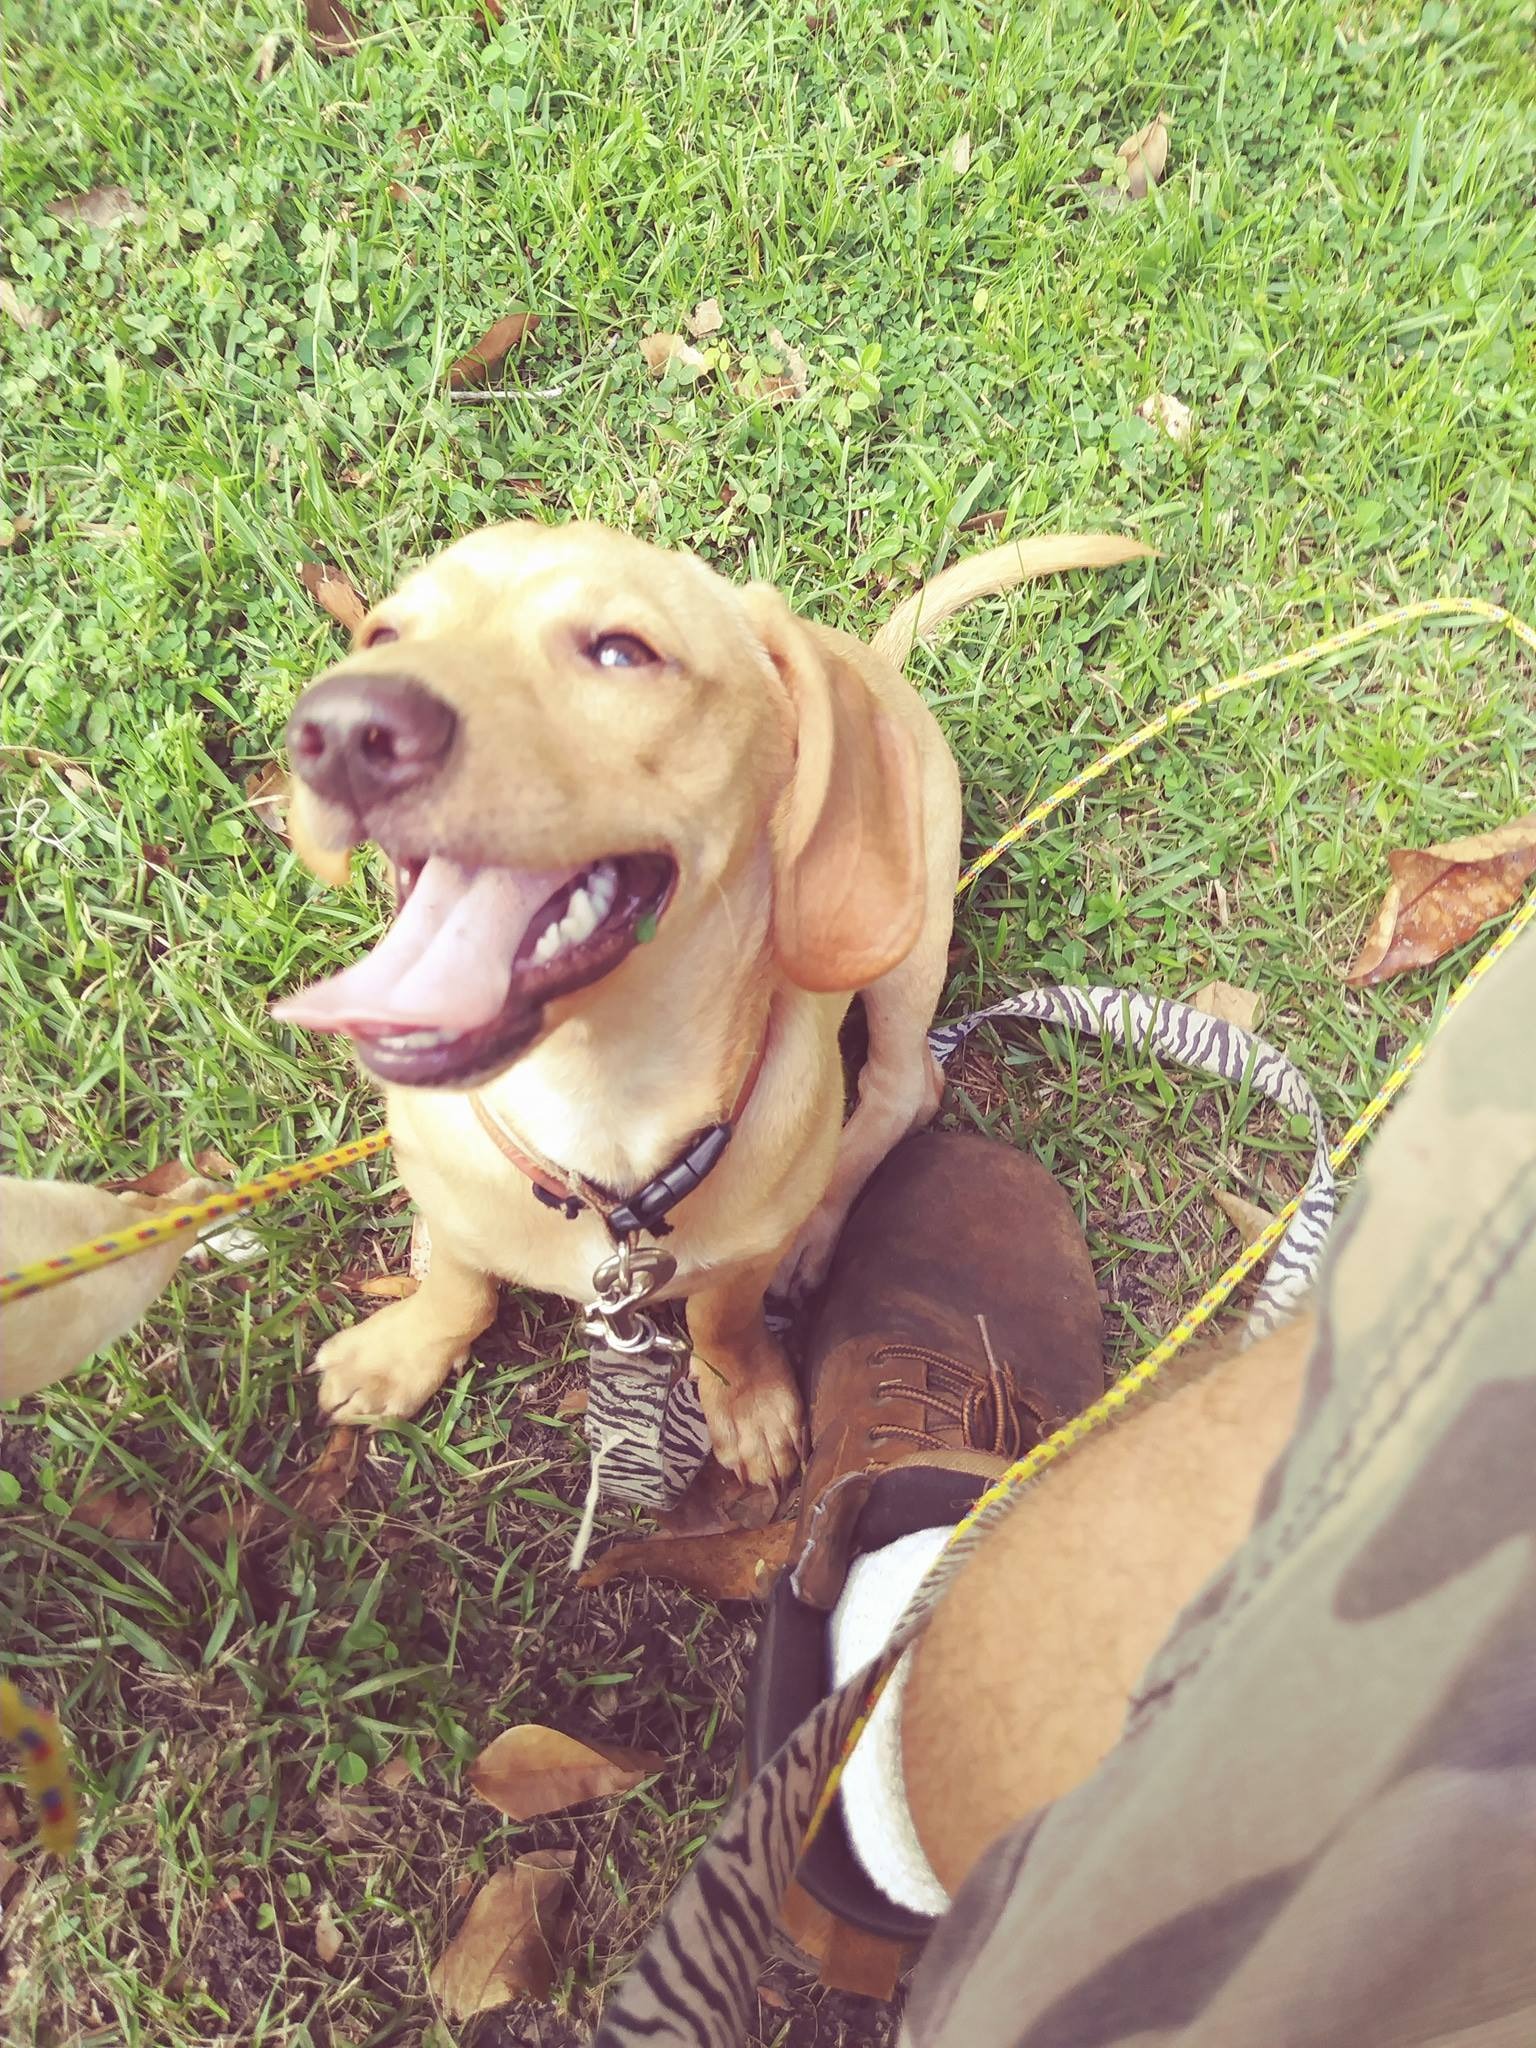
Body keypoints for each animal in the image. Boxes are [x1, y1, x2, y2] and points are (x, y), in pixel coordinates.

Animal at [275, 523, 1150, 1485]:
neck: (596, 1109)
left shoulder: (734, 1265)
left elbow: (721, 1321)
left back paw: (818, 1228)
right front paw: (401, 1353)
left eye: (622, 652)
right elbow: (460, 1286)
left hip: (908, 941)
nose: (341, 730)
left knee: (903, 1086)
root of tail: (869, 665)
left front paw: (747, 1402)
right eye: (383, 635)